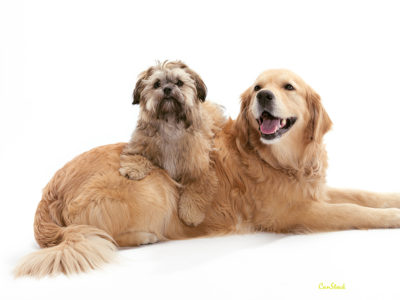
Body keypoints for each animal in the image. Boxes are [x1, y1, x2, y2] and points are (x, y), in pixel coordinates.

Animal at [119, 60, 227, 225]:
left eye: (179, 83)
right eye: (157, 84)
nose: (167, 89)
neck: (170, 120)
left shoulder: (200, 168)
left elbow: (197, 189)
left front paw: (191, 213)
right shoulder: (137, 145)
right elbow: (138, 156)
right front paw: (133, 169)